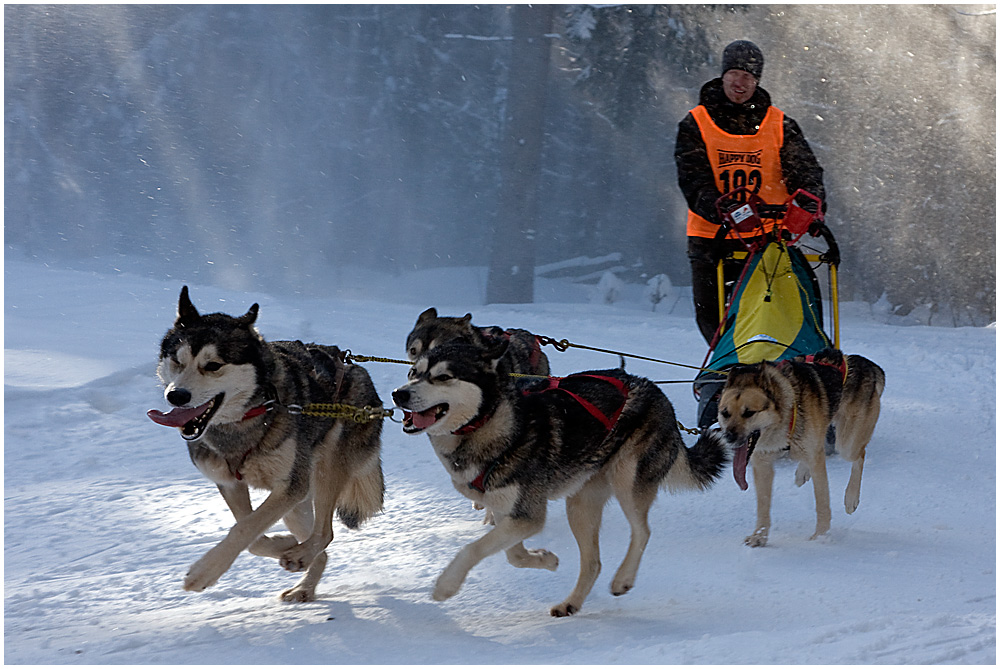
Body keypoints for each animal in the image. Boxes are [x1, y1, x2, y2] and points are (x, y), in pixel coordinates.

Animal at [147, 288, 382, 600]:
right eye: (177, 361)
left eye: (213, 365)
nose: (176, 395)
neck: (247, 417)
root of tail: (357, 368)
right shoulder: (231, 484)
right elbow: (251, 535)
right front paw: (281, 544)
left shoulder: (290, 487)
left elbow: (245, 529)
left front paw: (203, 572)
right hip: (298, 502)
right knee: (320, 546)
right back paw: (302, 579)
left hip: (324, 472)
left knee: (325, 533)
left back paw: (301, 557)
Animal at [390, 340, 728, 616]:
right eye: (414, 372)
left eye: (444, 377)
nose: (398, 394)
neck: (489, 426)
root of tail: (655, 389)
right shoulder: (508, 512)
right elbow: (513, 554)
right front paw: (545, 558)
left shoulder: (528, 514)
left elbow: (472, 548)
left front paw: (446, 585)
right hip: (579, 505)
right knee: (593, 562)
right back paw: (571, 603)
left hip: (627, 482)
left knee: (642, 532)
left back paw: (623, 579)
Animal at [720, 348, 884, 544]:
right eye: (725, 413)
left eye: (749, 413)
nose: (728, 437)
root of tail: (866, 365)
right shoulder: (762, 466)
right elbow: (763, 505)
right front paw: (759, 536)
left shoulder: (817, 463)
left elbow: (822, 503)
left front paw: (820, 537)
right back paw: (802, 472)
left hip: (846, 443)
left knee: (859, 455)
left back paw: (850, 498)